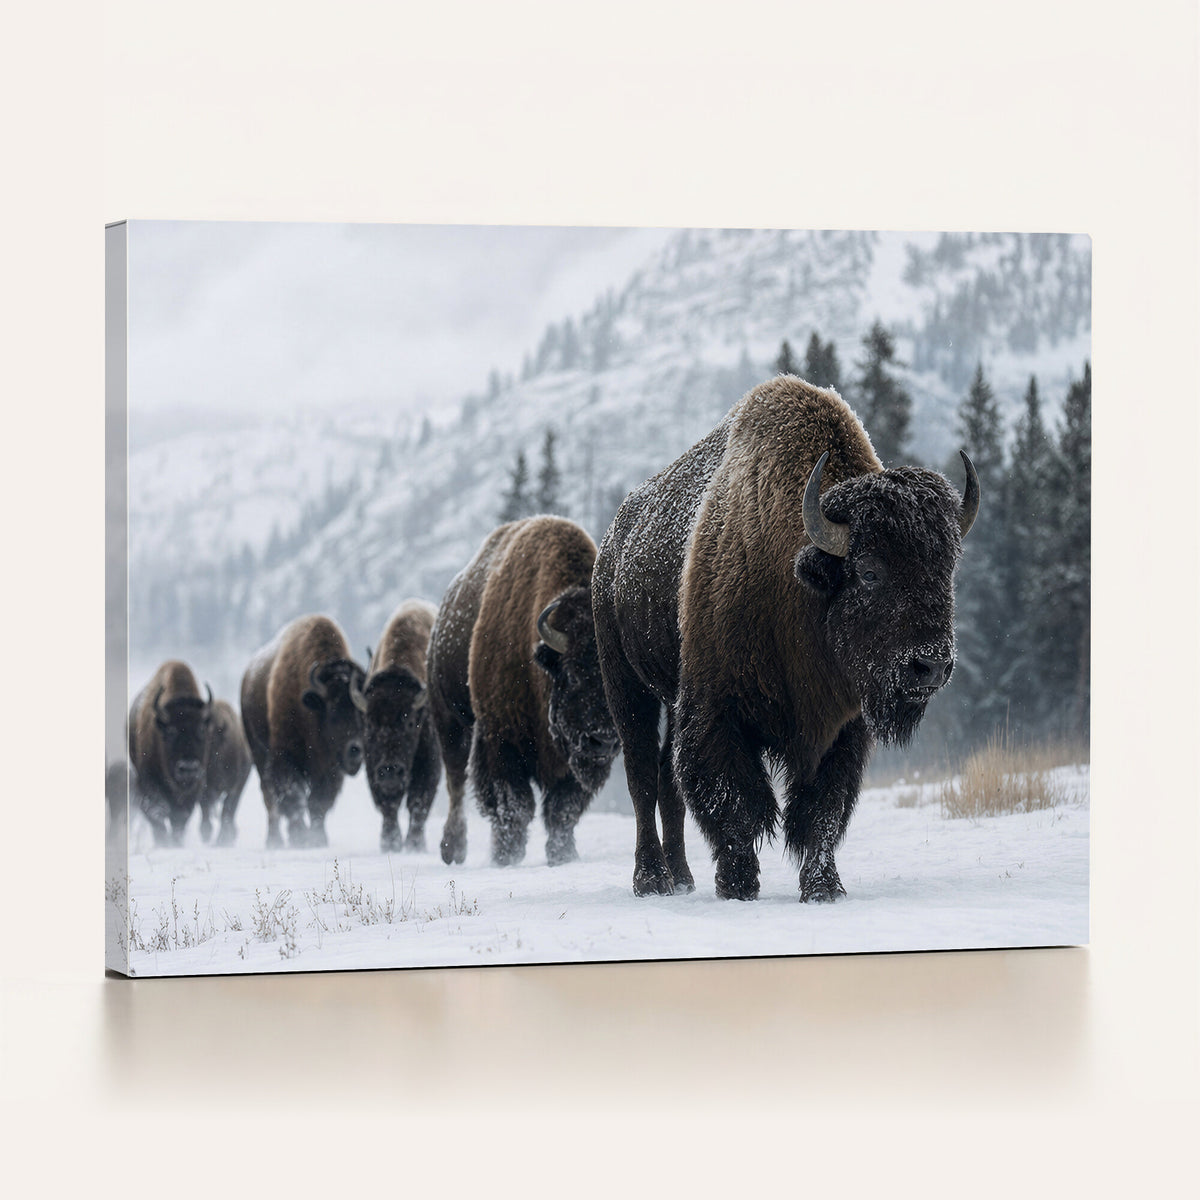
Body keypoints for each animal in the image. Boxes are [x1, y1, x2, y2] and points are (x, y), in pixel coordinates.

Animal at [128, 660, 215, 846]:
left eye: (201, 729)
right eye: (171, 731)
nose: (188, 768)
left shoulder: (194, 788)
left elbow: (179, 819)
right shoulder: (148, 783)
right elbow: (157, 814)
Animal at [241, 615, 367, 848]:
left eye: (363, 712)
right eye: (333, 711)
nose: (356, 750)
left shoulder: (330, 769)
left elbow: (319, 801)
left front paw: (318, 838)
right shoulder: (286, 758)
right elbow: (294, 796)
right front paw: (299, 836)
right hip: (259, 754)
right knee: (270, 798)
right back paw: (275, 841)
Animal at [363, 600, 443, 853]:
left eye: (409, 722)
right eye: (370, 723)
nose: (390, 771)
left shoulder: (430, 763)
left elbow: (418, 802)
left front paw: (415, 845)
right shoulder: (372, 766)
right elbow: (388, 805)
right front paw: (390, 844)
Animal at [429, 516, 619, 868]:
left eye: (613, 684)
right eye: (573, 675)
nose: (604, 740)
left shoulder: (567, 758)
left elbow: (562, 809)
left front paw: (563, 855)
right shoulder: (499, 738)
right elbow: (513, 804)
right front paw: (506, 855)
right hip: (450, 721)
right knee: (456, 783)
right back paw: (452, 849)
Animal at [593, 376, 979, 901]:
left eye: (946, 571)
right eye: (869, 571)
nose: (931, 666)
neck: (798, 578)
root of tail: (611, 547)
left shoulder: (839, 727)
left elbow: (821, 810)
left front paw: (824, 887)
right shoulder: (717, 710)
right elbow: (736, 800)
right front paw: (738, 884)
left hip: (672, 698)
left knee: (669, 785)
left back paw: (682, 878)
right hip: (626, 685)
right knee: (642, 778)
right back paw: (651, 879)